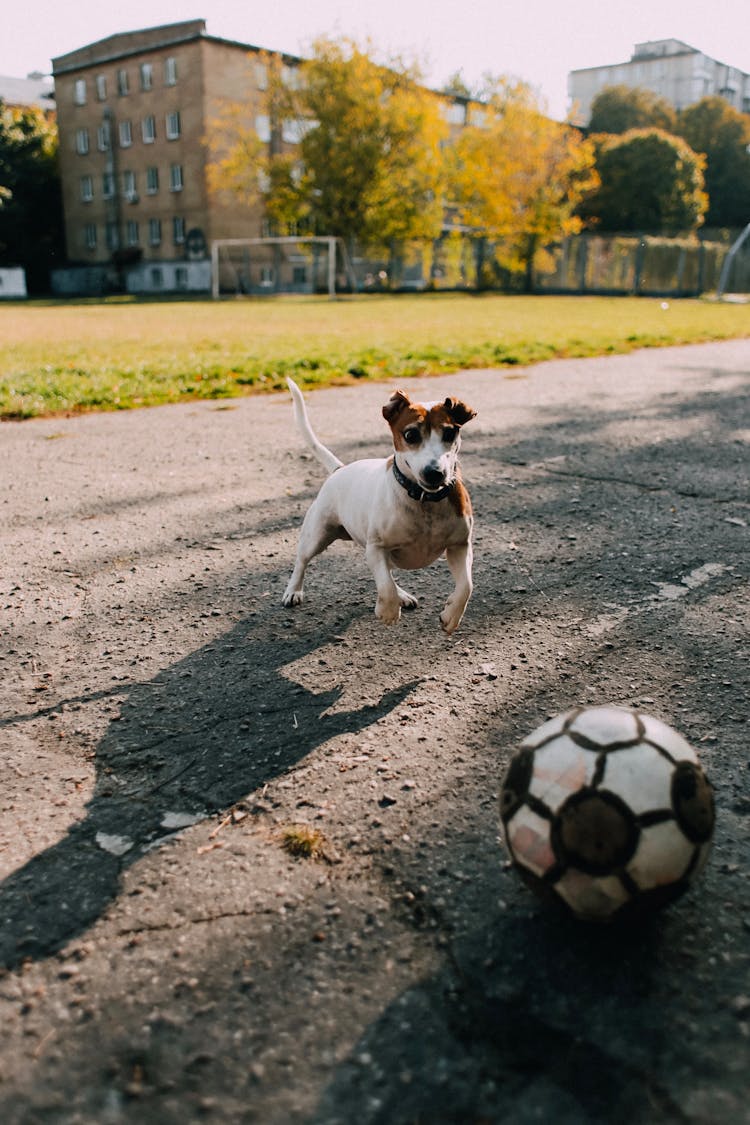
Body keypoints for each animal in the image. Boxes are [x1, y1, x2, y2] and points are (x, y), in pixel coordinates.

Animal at [281, 380, 474, 634]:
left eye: (450, 432)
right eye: (410, 434)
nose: (434, 473)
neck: (424, 501)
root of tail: (340, 469)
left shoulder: (460, 546)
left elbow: (466, 586)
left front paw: (451, 615)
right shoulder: (376, 547)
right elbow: (385, 586)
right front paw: (388, 611)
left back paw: (403, 596)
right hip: (316, 536)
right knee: (302, 561)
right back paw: (293, 591)